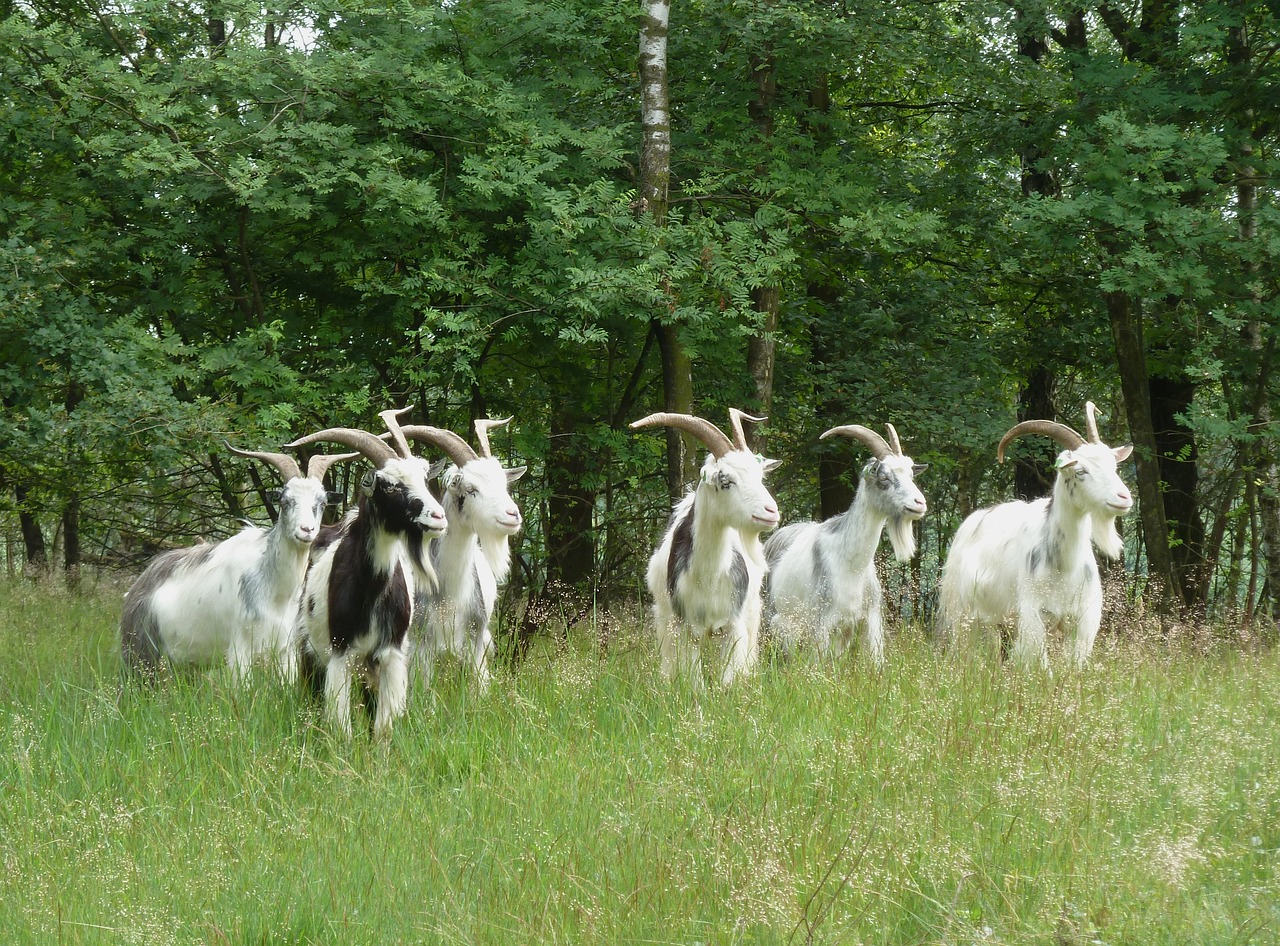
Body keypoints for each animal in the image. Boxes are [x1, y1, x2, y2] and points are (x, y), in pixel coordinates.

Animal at [119, 442, 353, 681]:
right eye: (285, 501)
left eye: (322, 502)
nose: (307, 530)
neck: (275, 590)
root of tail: (137, 588)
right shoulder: (240, 647)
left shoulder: (285, 648)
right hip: (142, 653)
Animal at [286, 409, 455, 742]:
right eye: (389, 485)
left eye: (425, 478)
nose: (438, 517)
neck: (372, 590)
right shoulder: (340, 654)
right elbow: (341, 727)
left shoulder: (391, 655)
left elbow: (383, 727)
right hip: (310, 647)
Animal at [394, 417, 524, 691]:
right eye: (471, 489)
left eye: (504, 485)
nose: (513, 515)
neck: (450, 595)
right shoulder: (421, 648)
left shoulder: (476, 644)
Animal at [762, 422, 926, 665]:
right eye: (884, 478)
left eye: (911, 474)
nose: (920, 503)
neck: (851, 565)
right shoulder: (820, 624)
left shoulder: (869, 620)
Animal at [936, 404, 1136, 670]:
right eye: (1081, 471)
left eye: (1114, 467)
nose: (1123, 498)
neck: (1065, 567)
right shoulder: (1033, 618)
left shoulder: (1081, 622)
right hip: (966, 616)